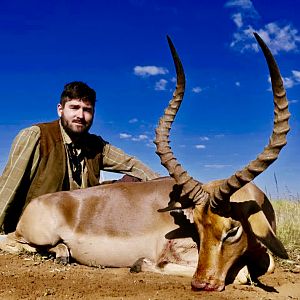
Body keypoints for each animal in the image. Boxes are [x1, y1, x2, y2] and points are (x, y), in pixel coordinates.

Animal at [1, 32, 290, 290]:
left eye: (232, 230)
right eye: (196, 227)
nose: (202, 283)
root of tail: (39, 202)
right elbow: (239, 274)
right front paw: (142, 264)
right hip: (34, 235)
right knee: (11, 241)